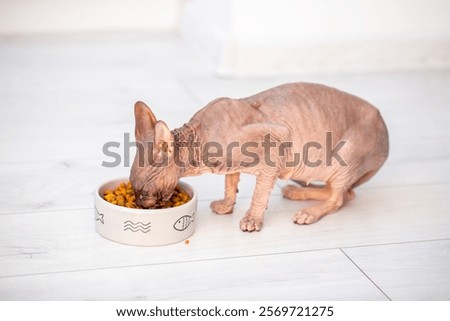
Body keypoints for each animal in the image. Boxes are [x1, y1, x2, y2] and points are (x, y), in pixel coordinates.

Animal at [128, 82, 388, 231]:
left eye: (145, 188)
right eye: (133, 189)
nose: (140, 203)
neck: (197, 138)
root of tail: (382, 122)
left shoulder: (278, 143)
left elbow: (259, 193)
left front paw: (252, 220)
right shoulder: (230, 164)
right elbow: (230, 183)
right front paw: (226, 206)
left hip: (346, 156)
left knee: (339, 199)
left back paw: (309, 213)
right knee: (346, 193)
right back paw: (297, 192)